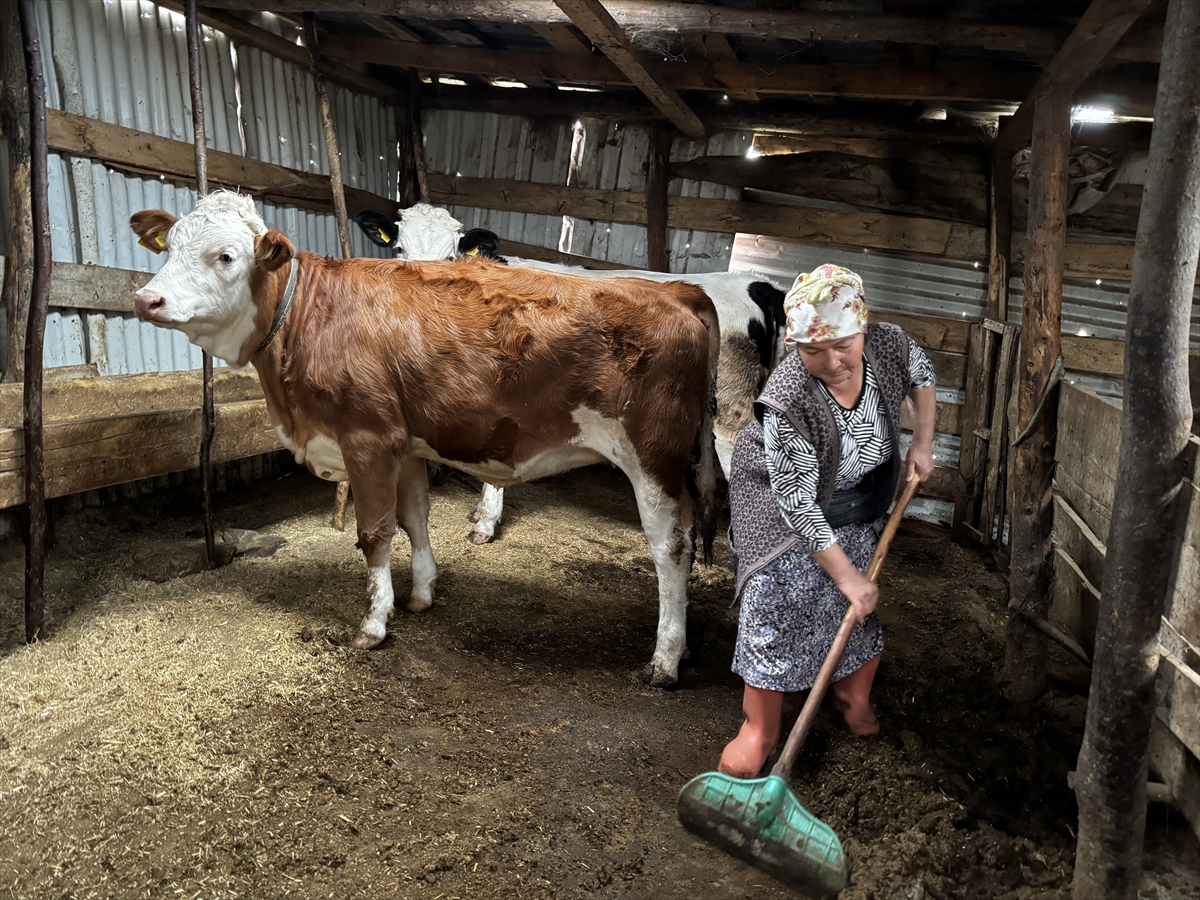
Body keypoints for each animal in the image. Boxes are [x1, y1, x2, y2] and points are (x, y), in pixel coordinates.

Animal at [126, 188, 715, 681]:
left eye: (225, 256)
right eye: (168, 247)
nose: (145, 300)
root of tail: (676, 291)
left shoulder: (366, 437)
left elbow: (374, 532)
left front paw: (374, 623)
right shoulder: (405, 442)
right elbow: (413, 518)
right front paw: (422, 593)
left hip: (653, 455)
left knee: (670, 545)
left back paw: (664, 659)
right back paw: (683, 646)